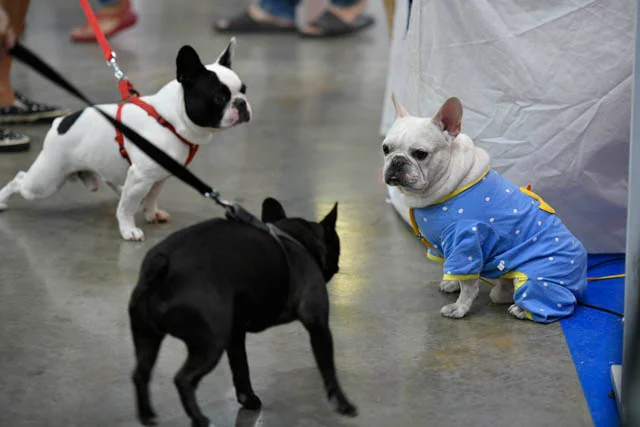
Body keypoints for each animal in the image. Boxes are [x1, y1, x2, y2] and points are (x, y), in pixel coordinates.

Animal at [0, 39, 251, 241]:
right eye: (219, 98)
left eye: (244, 90)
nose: (241, 103)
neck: (168, 119)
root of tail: (60, 123)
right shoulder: (141, 177)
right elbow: (127, 208)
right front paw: (128, 229)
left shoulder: (158, 176)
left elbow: (151, 198)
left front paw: (151, 213)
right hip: (44, 182)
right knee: (20, 180)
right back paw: (2, 200)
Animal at [128, 197, 357, 427]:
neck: (295, 237)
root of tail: (163, 264)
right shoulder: (319, 325)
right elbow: (328, 369)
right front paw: (344, 404)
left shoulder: (236, 334)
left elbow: (240, 366)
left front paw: (248, 399)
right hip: (211, 343)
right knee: (183, 379)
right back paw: (199, 418)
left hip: (147, 335)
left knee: (141, 373)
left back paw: (147, 415)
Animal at [383, 95, 588, 323]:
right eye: (386, 149)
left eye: (420, 154)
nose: (397, 161)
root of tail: (581, 280)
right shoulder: (448, 247)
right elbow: (455, 272)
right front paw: (452, 284)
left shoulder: (466, 241)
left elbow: (468, 285)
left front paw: (459, 308)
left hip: (538, 277)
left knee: (558, 303)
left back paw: (521, 309)